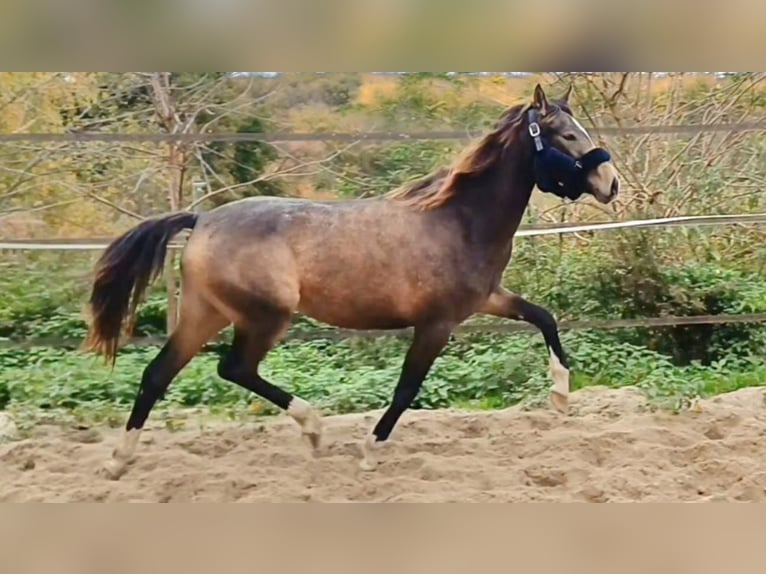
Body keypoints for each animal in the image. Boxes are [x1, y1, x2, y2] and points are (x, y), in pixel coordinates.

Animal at [85, 84, 624, 482]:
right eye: (565, 135)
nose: (611, 183)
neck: (457, 221)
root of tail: (202, 220)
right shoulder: (437, 324)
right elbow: (407, 389)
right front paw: (369, 450)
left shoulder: (487, 300)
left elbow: (544, 318)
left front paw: (561, 396)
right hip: (265, 317)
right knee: (233, 368)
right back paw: (313, 428)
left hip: (206, 312)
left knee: (158, 374)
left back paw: (119, 462)